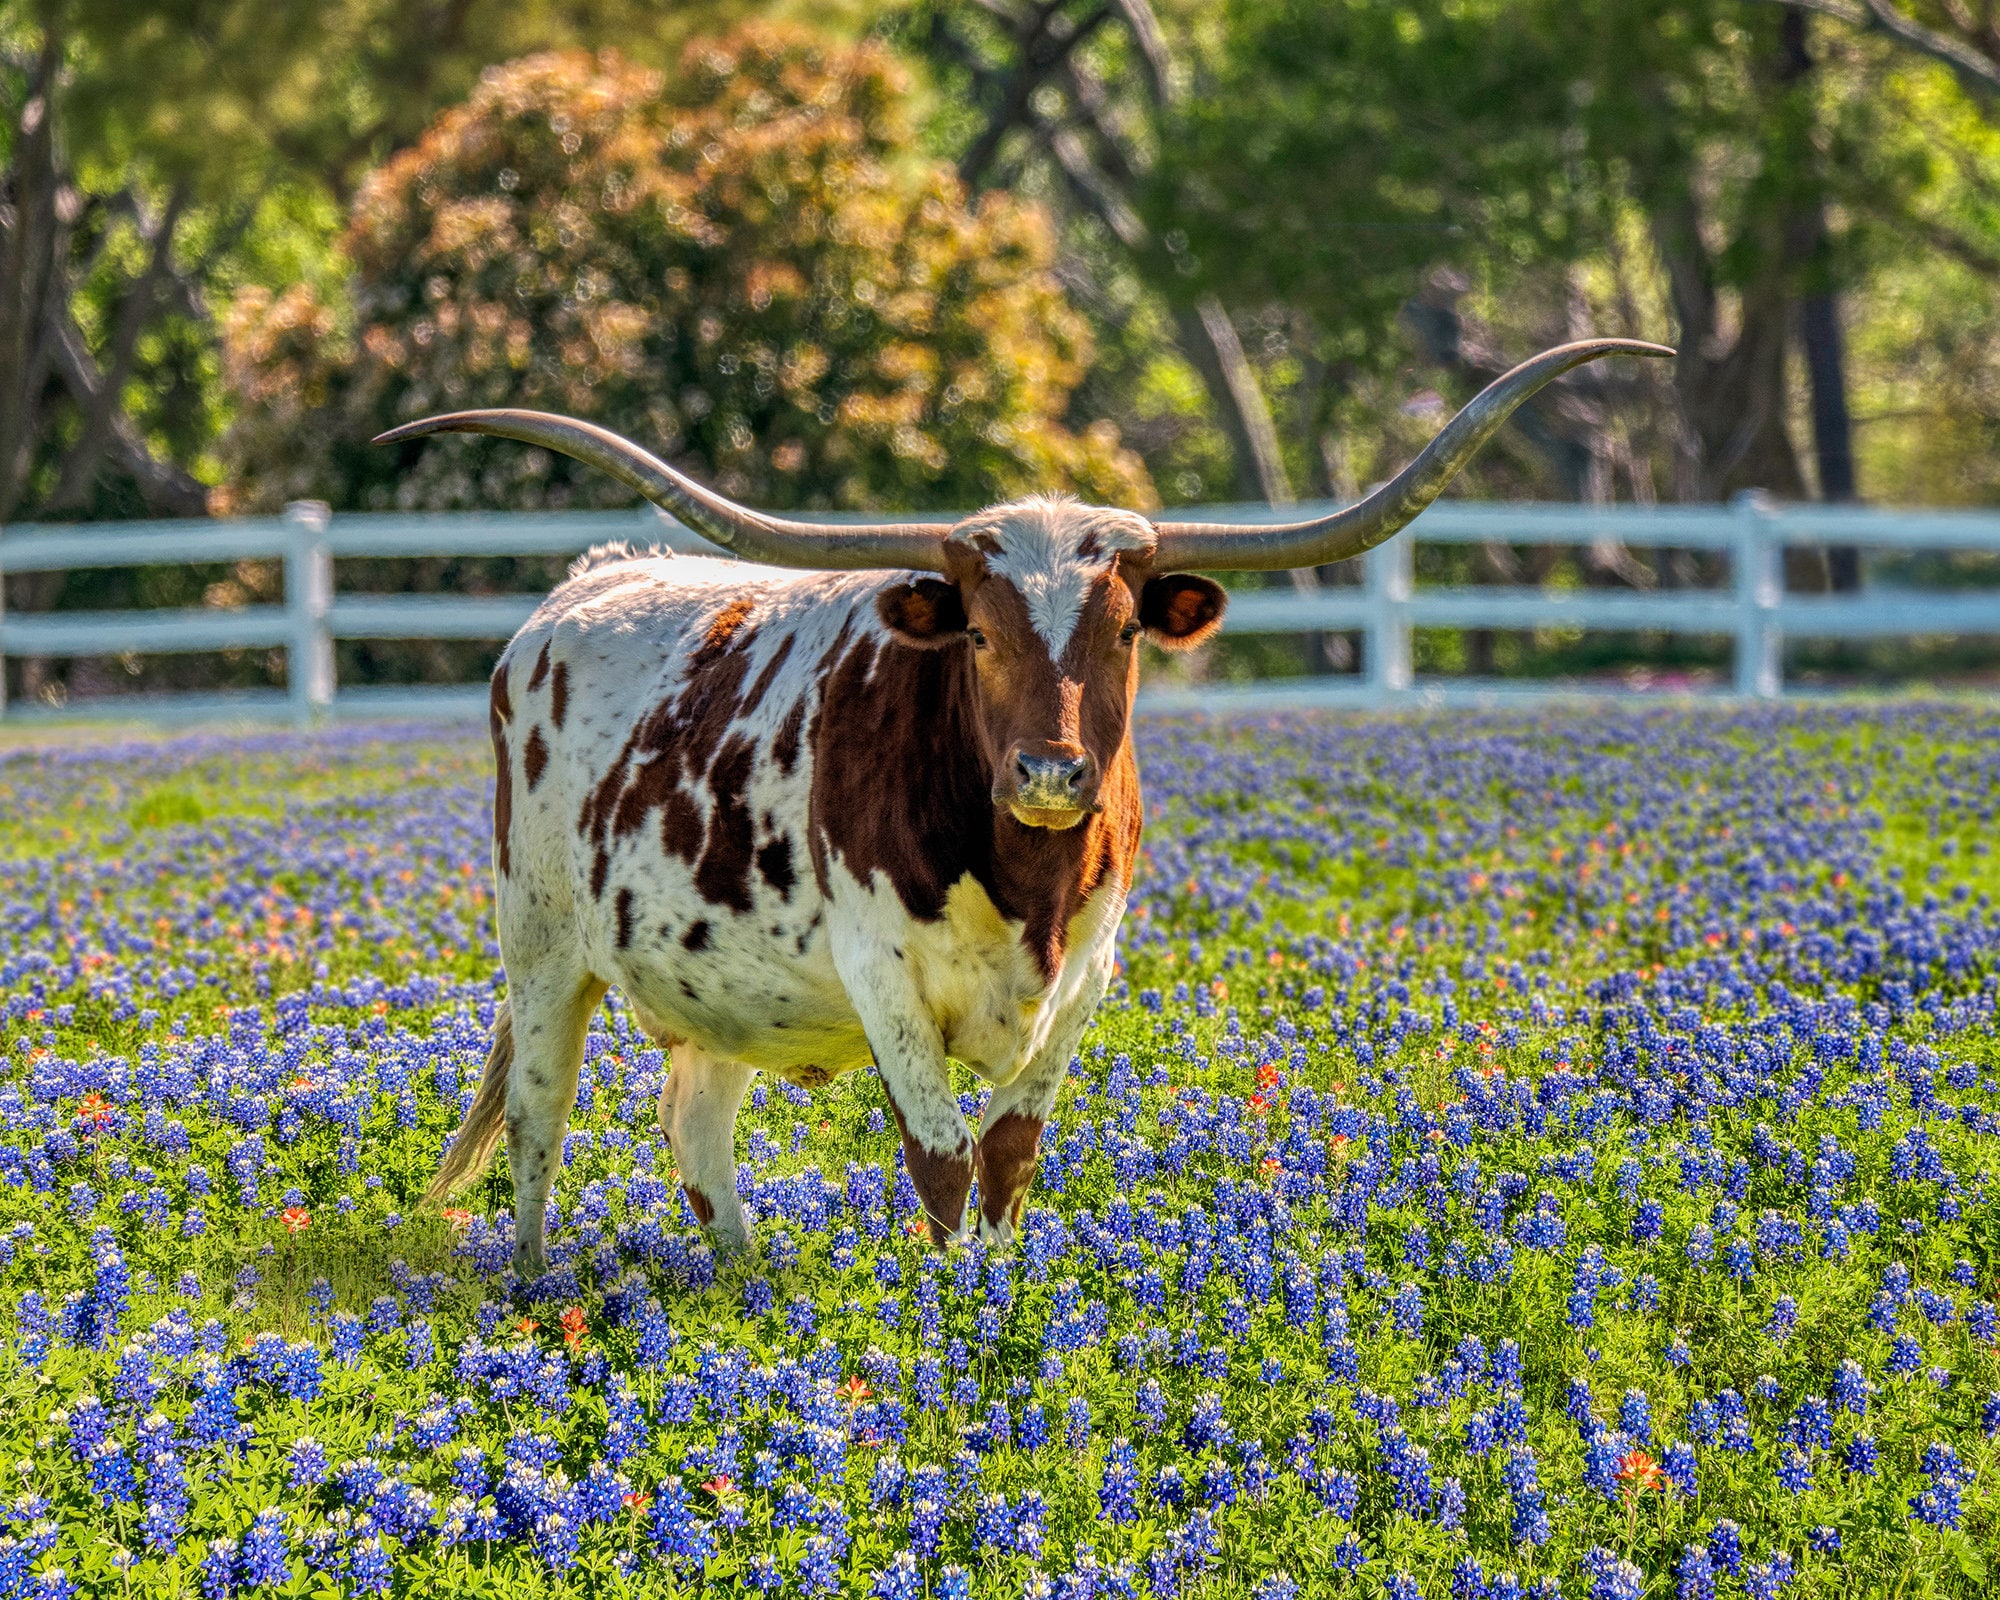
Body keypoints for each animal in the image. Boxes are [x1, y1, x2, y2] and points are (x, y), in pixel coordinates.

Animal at [388, 337, 1669, 1274]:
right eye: (978, 633)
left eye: (1125, 627)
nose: (1050, 776)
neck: (1023, 882)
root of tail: (590, 577)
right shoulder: (880, 974)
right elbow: (942, 1156)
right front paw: (953, 1299)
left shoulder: (1089, 972)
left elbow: (1007, 1151)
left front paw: (1001, 1290)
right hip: (541, 950)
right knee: (539, 1119)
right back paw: (535, 1282)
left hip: (718, 985)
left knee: (695, 1123)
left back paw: (743, 1284)